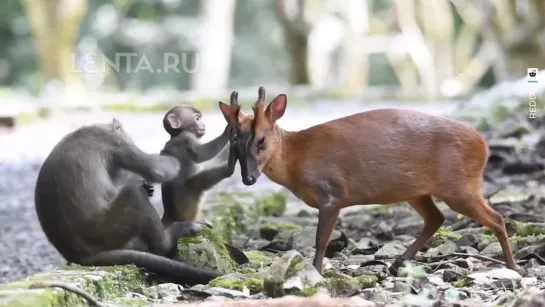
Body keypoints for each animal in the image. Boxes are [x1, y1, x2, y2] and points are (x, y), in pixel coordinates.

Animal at [34, 119, 221, 286]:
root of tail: (79, 256)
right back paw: (167, 241)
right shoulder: (117, 144)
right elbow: (157, 170)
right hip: (108, 232)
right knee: (133, 194)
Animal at [159, 91, 240, 226]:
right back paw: (228, 168)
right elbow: (201, 155)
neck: (176, 134)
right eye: (197, 118)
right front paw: (228, 129)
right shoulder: (187, 138)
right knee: (197, 183)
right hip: (186, 195)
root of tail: (169, 215)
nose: (203, 124)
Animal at [217, 87, 516, 276]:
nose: (248, 178)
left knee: (496, 217)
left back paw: (513, 266)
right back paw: (397, 263)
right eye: (234, 142)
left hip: (459, 185)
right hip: (417, 190)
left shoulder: (332, 193)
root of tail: (483, 144)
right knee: (436, 217)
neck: (295, 159)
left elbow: (321, 240)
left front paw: (316, 271)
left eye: (261, 140)